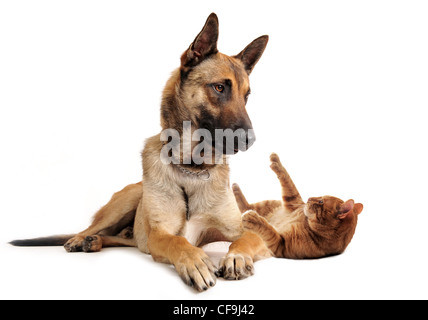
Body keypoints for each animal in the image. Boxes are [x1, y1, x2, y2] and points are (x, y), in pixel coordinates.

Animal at [11, 13, 270, 292]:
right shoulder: (160, 234)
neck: (192, 167)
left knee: (122, 239)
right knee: (93, 228)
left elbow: (246, 239)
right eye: (220, 88)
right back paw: (81, 239)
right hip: (126, 202)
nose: (250, 140)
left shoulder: (242, 232)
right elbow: (179, 242)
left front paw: (237, 257)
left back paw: (94, 242)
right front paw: (195, 262)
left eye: (246, 96)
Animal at [232, 153, 362, 260]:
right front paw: (276, 161)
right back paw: (235, 187)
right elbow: (287, 180)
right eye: (320, 196)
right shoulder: (293, 202)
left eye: (321, 201)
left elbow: (268, 229)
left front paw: (253, 219)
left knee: (246, 209)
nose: (309, 198)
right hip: (269, 203)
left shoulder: (280, 245)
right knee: (247, 205)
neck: (307, 224)